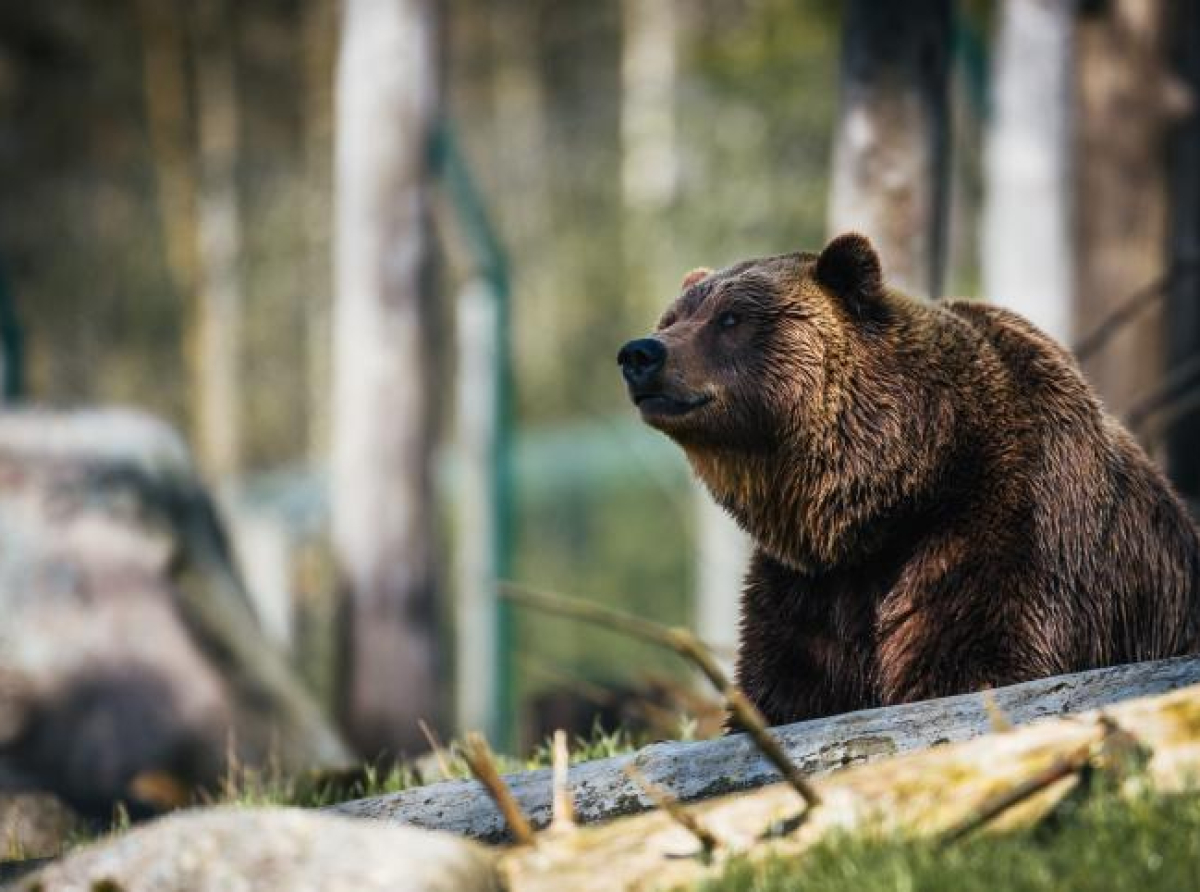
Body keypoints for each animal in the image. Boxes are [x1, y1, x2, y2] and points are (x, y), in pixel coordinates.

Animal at [619, 235, 1200, 725]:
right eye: (673, 316)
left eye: (731, 318)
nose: (642, 353)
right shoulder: (811, 588)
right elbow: (784, 688)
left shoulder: (1006, 526)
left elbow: (976, 661)